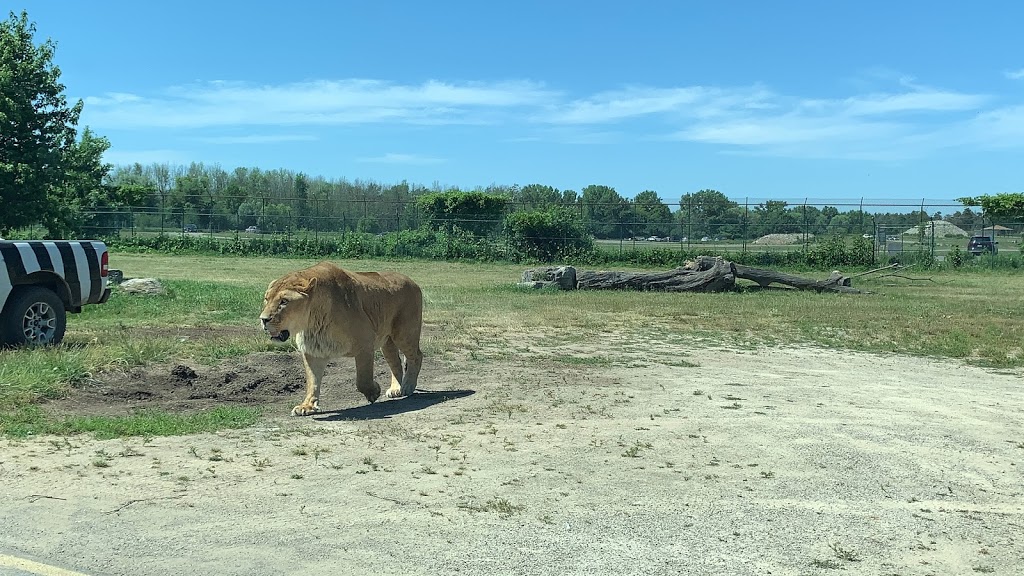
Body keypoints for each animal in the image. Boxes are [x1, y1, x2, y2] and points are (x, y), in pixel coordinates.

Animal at [262, 262, 425, 414]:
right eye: (266, 299)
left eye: (284, 301)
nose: (263, 319)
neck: (312, 322)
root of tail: (413, 282)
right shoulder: (312, 351)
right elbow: (312, 381)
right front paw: (307, 406)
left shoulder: (365, 341)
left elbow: (362, 380)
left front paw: (374, 392)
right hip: (387, 340)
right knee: (395, 362)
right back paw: (396, 389)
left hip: (404, 333)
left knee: (417, 356)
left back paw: (408, 386)